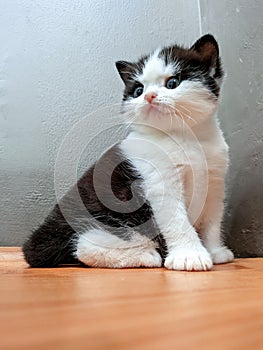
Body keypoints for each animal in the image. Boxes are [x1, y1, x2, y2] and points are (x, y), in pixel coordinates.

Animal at [22, 34, 233, 270]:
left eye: (172, 83)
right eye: (138, 90)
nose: (149, 96)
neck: (185, 137)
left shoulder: (215, 183)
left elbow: (213, 220)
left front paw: (215, 251)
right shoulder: (159, 182)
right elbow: (177, 221)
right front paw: (189, 255)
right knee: (85, 245)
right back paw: (147, 256)